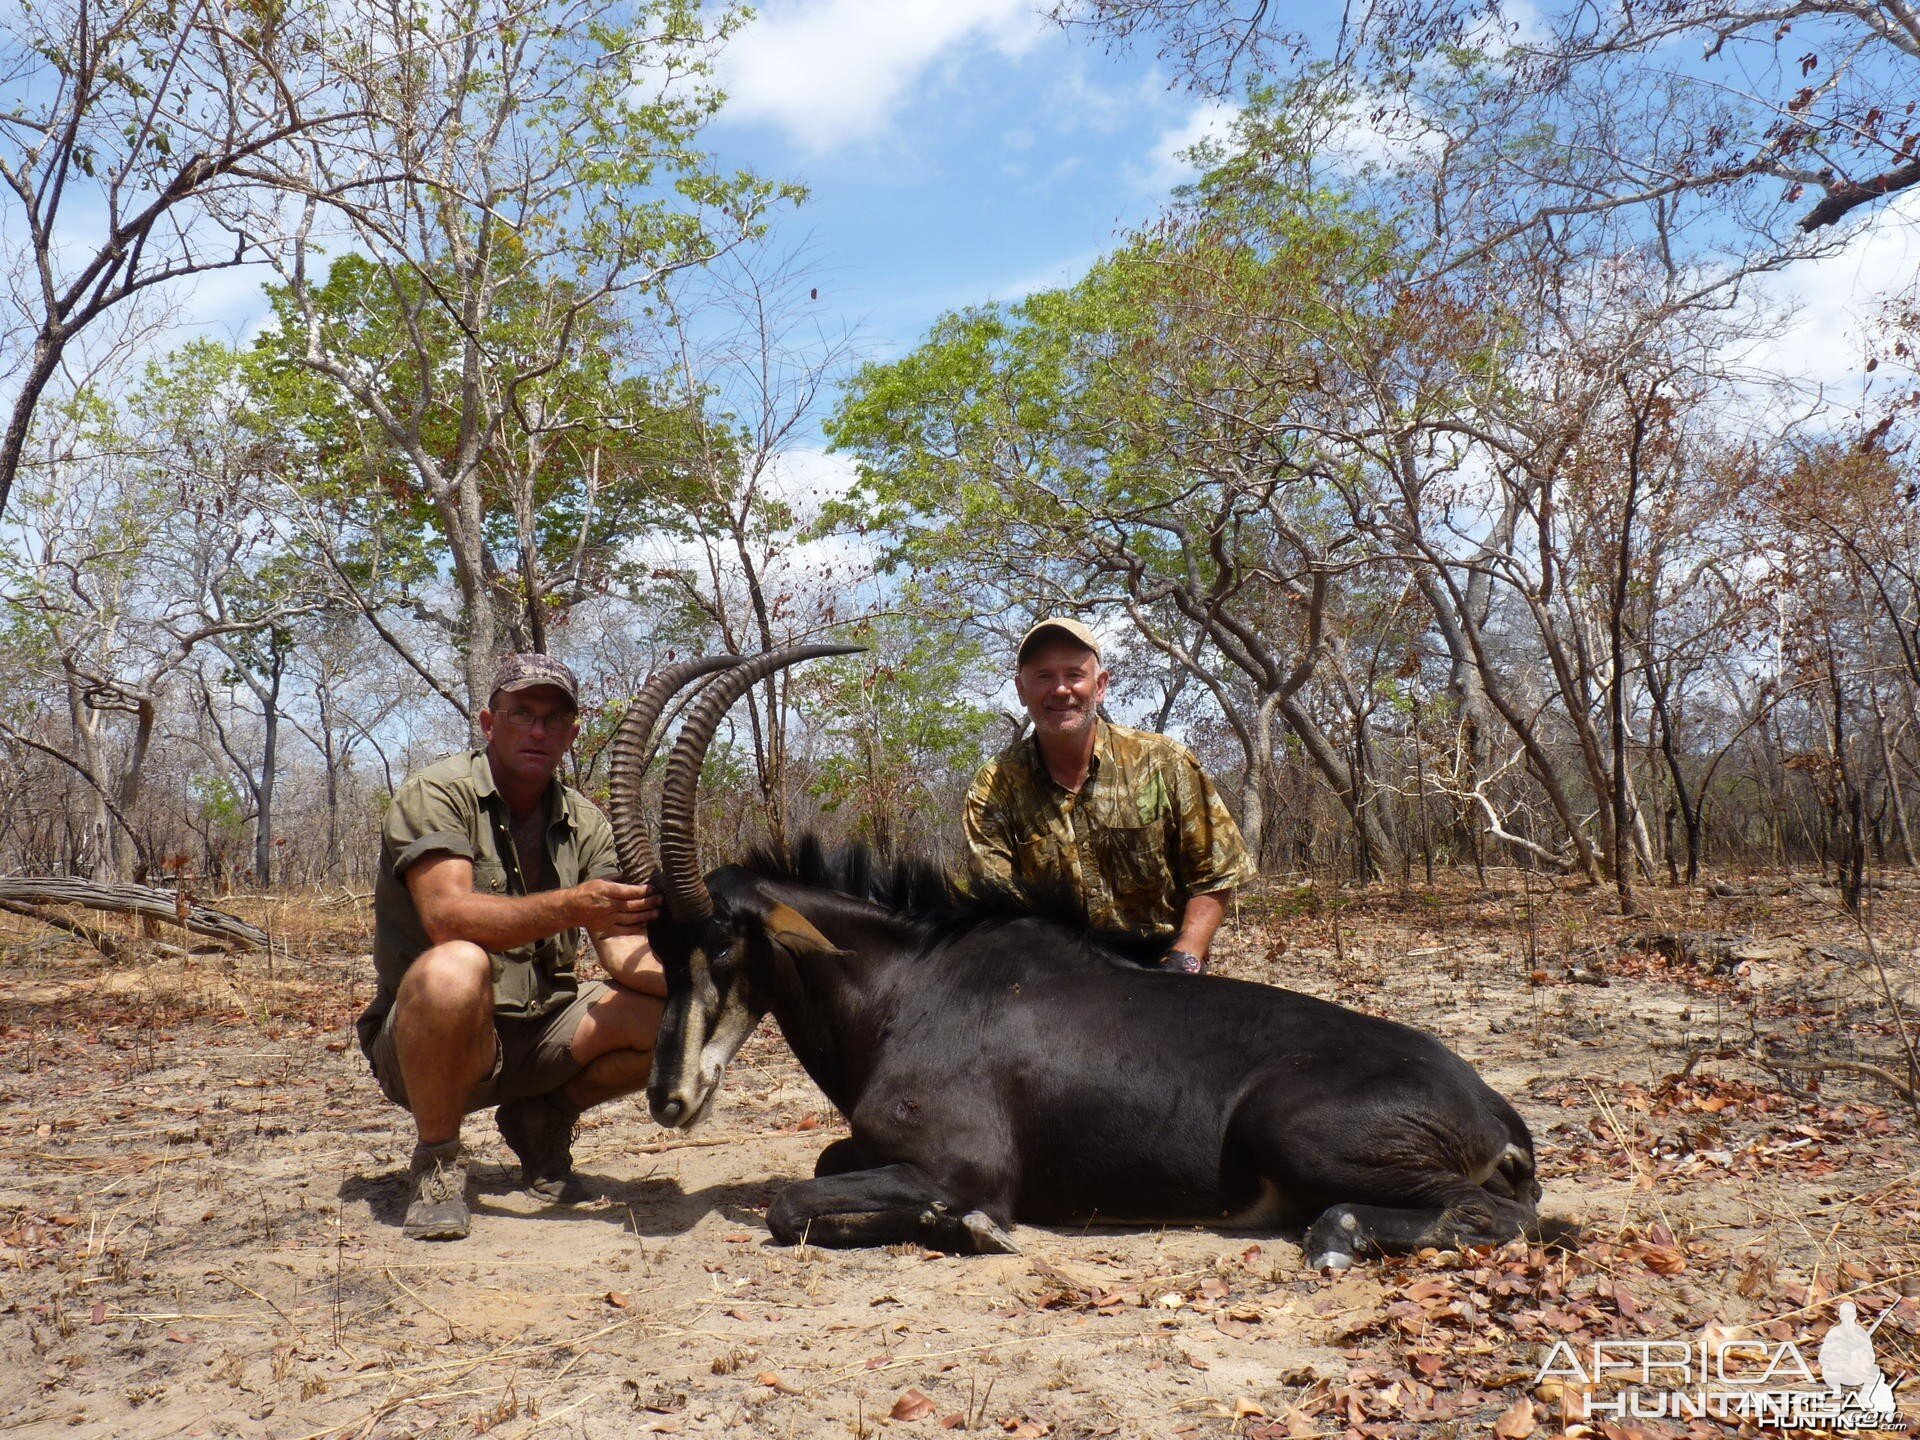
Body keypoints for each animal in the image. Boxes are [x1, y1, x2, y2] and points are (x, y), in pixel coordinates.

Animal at [606, 648, 1536, 1267]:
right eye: (659, 948)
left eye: (724, 941)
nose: (667, 1098)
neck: (908, 987)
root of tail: (1490, 1103)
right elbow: (819, 1166)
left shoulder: (964, 1163)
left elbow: (793, 1199)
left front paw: (962, 1226)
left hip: (1299, 1131)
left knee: (1496, 1217)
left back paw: (1337, 1236)